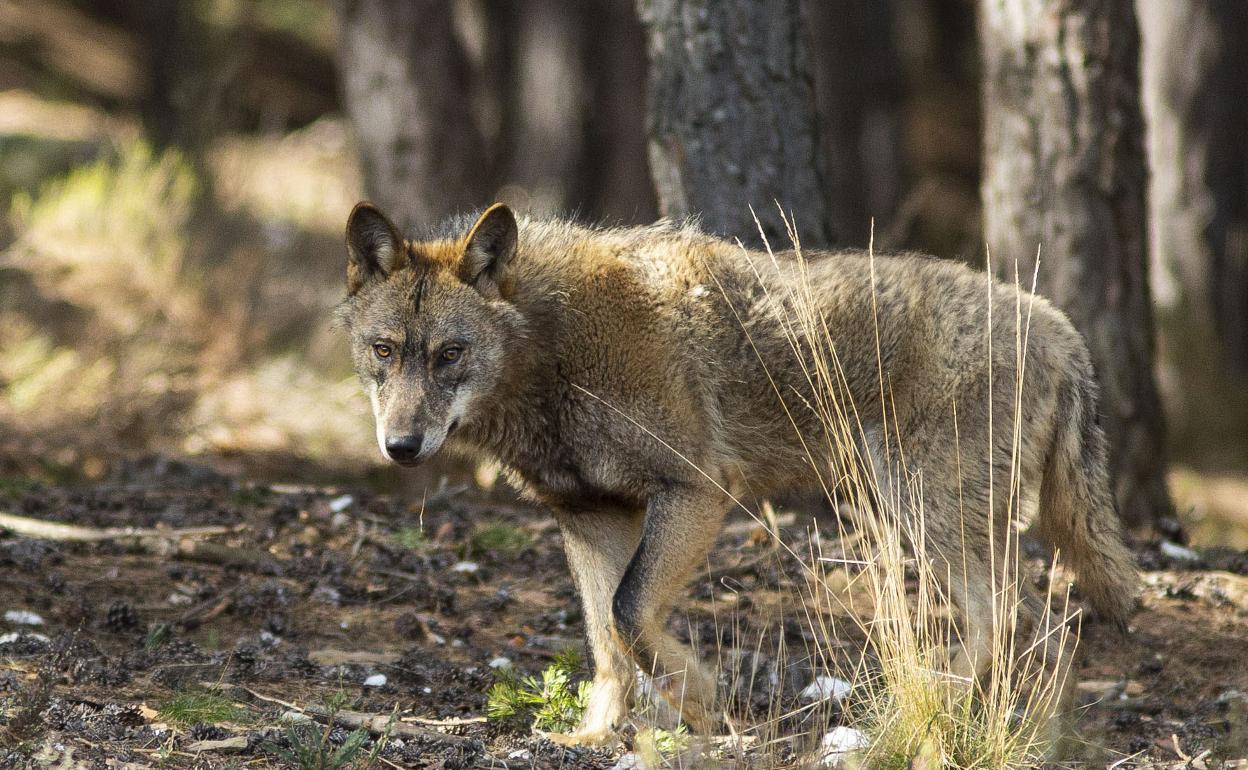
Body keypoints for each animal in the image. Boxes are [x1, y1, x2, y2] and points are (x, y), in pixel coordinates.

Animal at [336, 200, 1138, 743]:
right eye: (384, 351)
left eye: (450, 354)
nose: (401, 446)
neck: (556, 349)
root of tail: (1062, 328)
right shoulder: (590, 517)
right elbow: (607, 642)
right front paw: (597, 735)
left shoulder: (696, 492)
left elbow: (630, 615)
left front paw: (697, 700)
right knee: (1041, 629)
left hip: (919, 512)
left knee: (1018, 619)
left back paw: (927, 715)